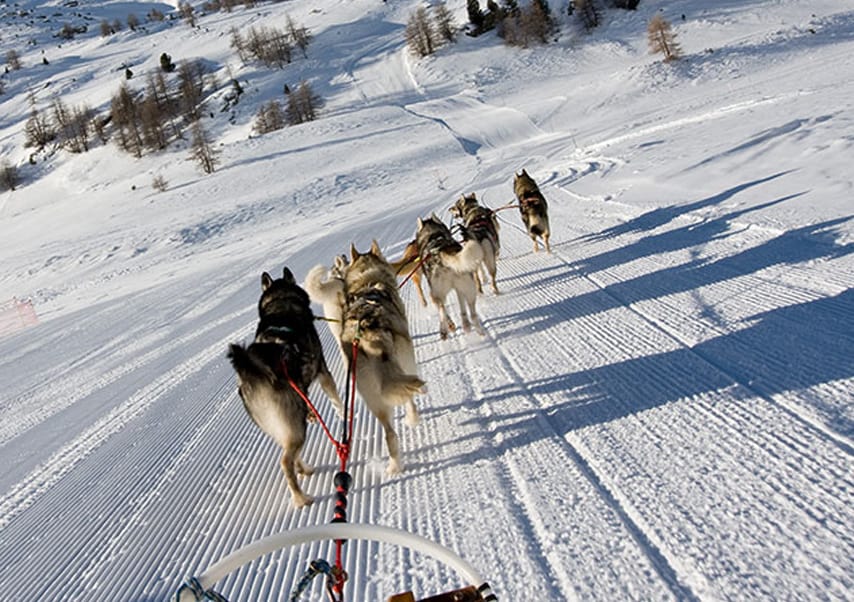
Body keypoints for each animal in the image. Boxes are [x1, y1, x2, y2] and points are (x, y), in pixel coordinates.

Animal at [231, 268, 348, 506]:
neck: (281, 305)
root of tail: (252, 372)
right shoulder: (324, 373)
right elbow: (337, 402)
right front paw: (345, 415)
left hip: (285, 426)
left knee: (292, 455)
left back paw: (305, 470)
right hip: (295, 424)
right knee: (286, 461)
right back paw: (301, 498)